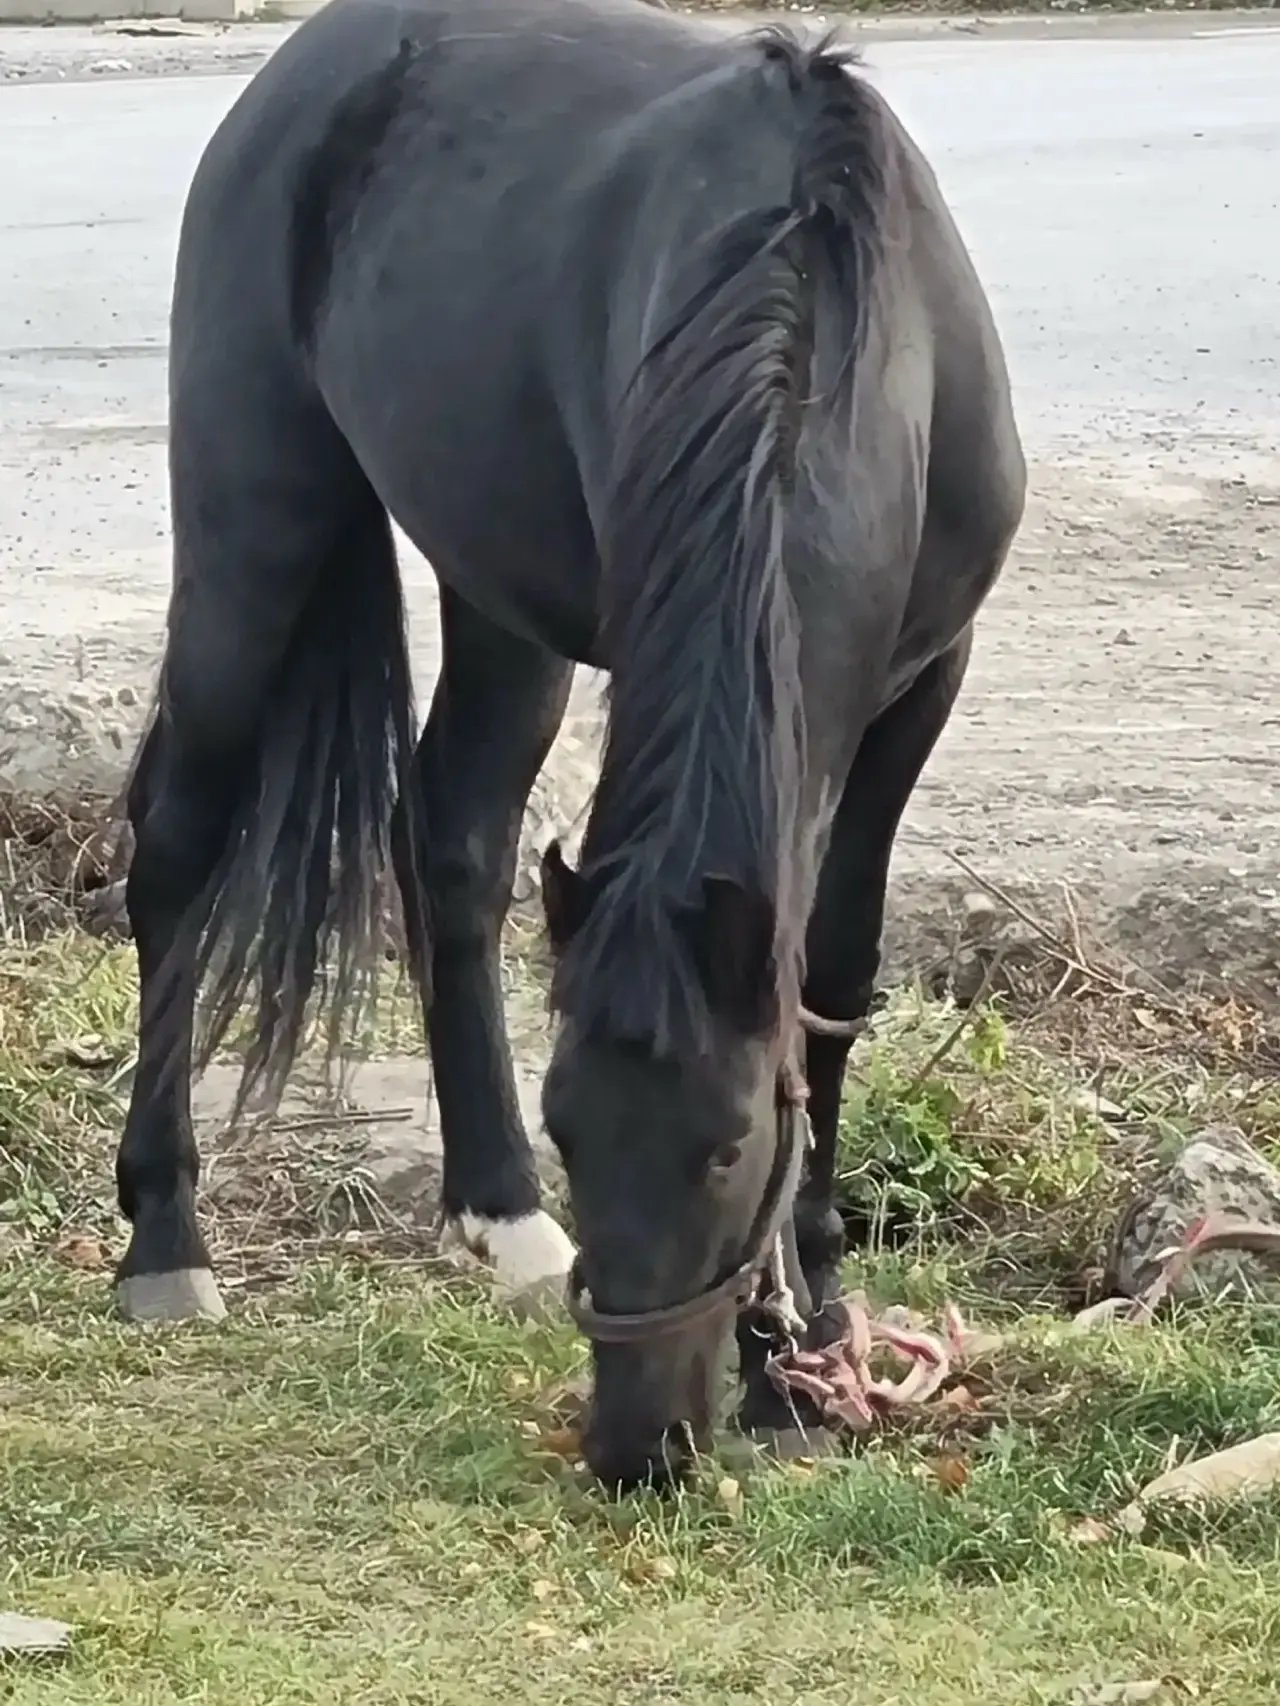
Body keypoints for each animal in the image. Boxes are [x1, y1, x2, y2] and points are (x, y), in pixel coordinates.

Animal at [110, 0, 1025, 1491]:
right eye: (574, 1124)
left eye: (726, 1147)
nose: (636, 1444)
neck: (836, 307)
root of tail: (300, 77)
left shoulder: (922, 685)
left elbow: (830, 977)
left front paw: (812, 1327)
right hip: (254, 537)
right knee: (178, 852)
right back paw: (165, 1242)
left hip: (498, 604)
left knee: (452, 845)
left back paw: (497, 1216)